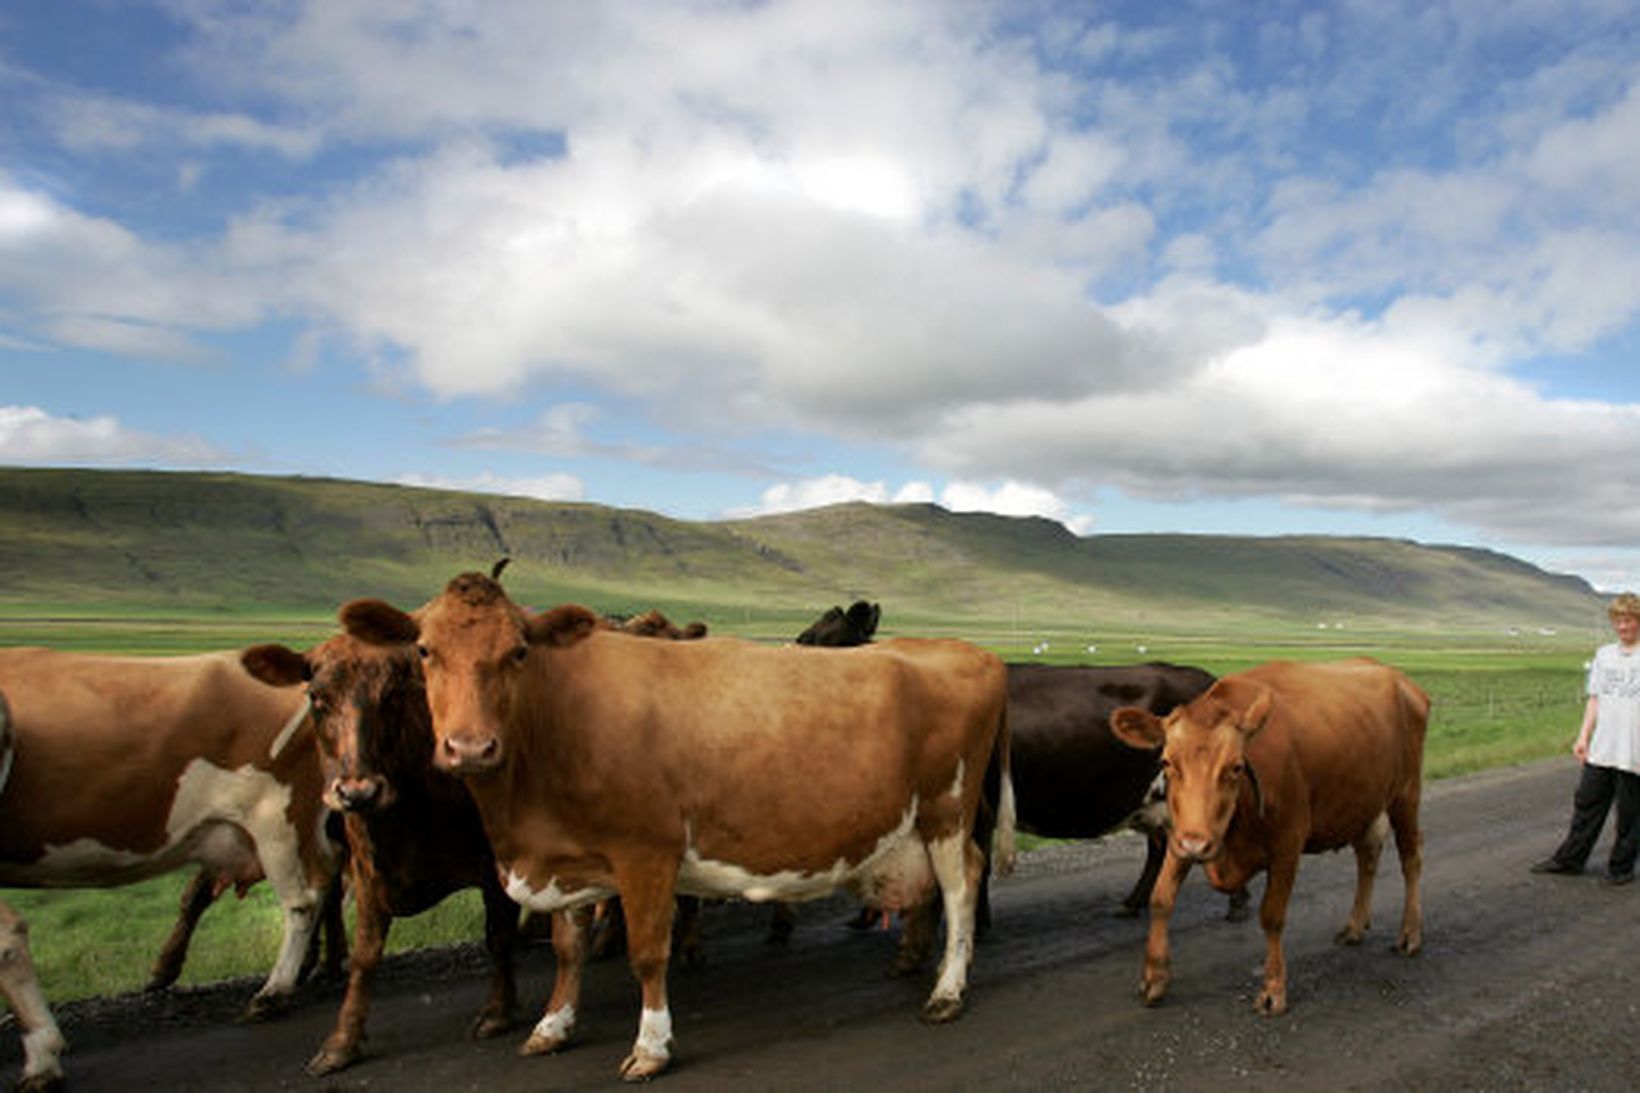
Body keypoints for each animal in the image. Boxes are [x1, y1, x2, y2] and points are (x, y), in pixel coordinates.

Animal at [237, 626, 514, 1070]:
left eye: (392, 696)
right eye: (317, 698)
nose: (358, 792)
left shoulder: (495, 863)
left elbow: (499, 934)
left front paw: (497, 1012)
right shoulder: (366, 871)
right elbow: (364, 957)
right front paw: (342, 1041)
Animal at [341, 574, 1016, 1076]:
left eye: (519, 652)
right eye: (424, 651)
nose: (470, 748)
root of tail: (968, 650)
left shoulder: (646, 851)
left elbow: (647, 953)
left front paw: (650, 1046)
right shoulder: (566, 856)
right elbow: (567, 950)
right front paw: (552, 1026)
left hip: (947, 809)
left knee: (961, 886)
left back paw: (947, 992)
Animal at [1108, 656, 1430, 1010]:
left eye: (1236, 766)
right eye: (1167, 762)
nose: (1196, 844)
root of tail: (1396, 676)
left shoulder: (1288, 844)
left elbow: (1272, 916)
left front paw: (1274, 988)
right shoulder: (1182, 834)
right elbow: (1161, 899)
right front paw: (1154, 978)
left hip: (1406, 793)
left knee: (1411, 859)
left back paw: (1410, 934)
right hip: (1363, 802)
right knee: (1368, 857)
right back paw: (1355, 927)